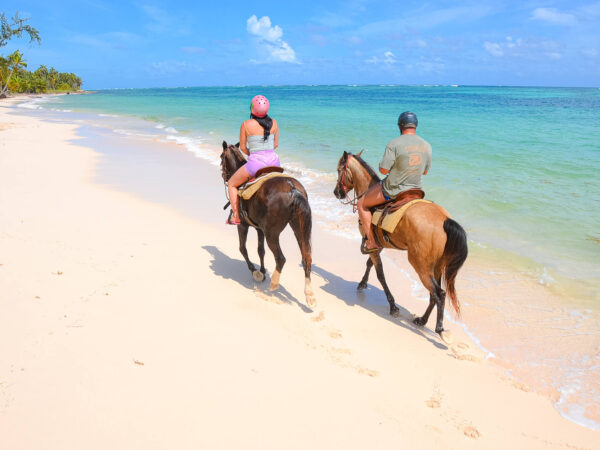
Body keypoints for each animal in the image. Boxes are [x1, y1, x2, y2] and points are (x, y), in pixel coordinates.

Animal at [219, 142, 314, 308]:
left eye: (221, 157)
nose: (223, 175)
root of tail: (292, 189)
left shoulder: (243, 226)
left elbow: (242, 249)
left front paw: (255, 271)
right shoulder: (259, 229)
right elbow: (260, 250)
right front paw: (262, 272)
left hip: (272, 234)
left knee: (280, 259)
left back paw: (274, 284)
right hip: (298, 228)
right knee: (306, 258)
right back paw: (309, 295)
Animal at [332, 149, 468, 342]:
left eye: (339, 170)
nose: (337, 192)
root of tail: (444, 220)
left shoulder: (373, 245)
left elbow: (380, 274)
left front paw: (392, 305)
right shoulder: (377, 245)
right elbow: (370, 264)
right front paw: (363, 283)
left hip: (420, 264)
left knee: (438, 293)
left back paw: (439, 328)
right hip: (436, 265)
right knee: (434, 294)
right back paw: (422, 320)